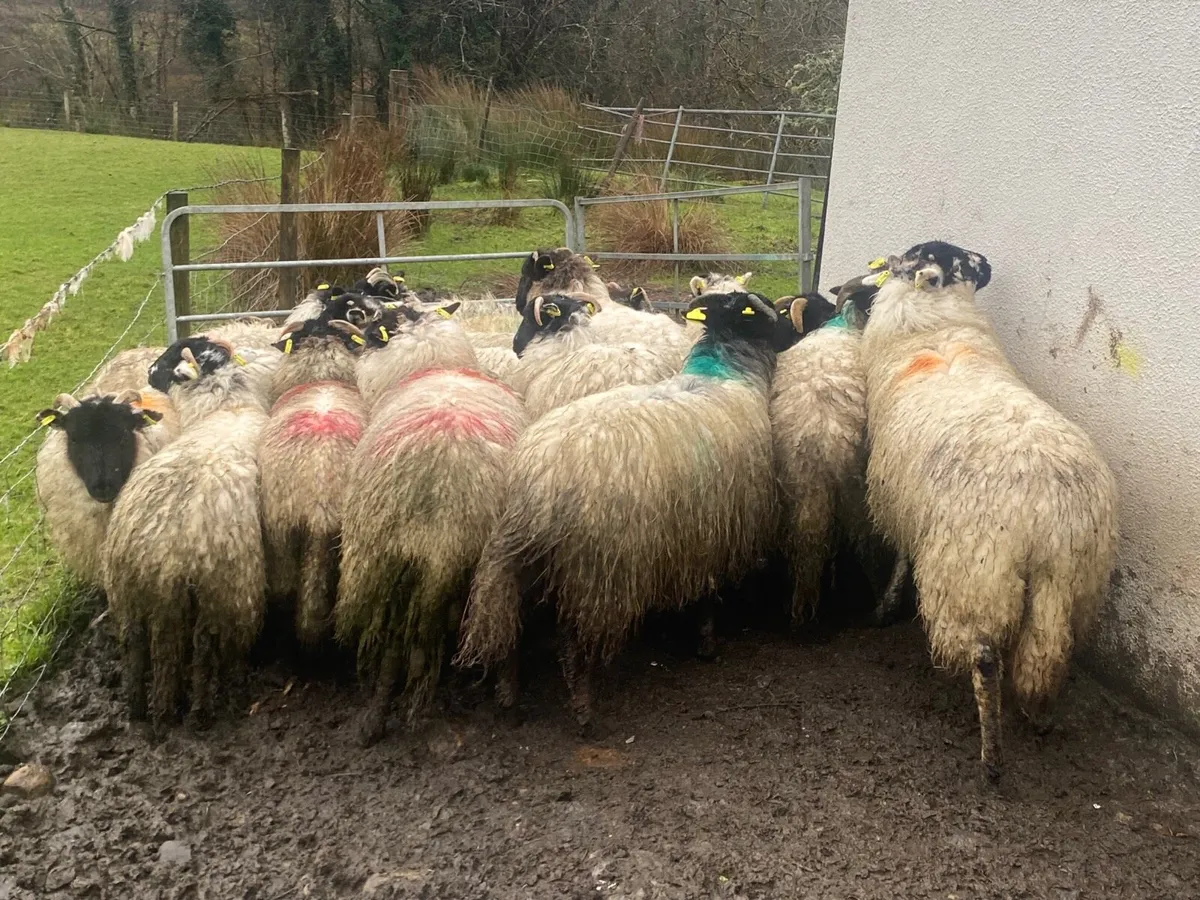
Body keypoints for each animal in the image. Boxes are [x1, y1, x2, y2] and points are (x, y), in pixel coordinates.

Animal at [104, 336, 273, 725]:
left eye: (167, 361)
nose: (148, 372)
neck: (227, 408)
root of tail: (160, 559)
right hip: (222, 591)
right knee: (206, 648)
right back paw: (202, 710)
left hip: (126, 592)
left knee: (134, 647)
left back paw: (138, 709)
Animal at [335, 367, 528, 743]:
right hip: (490, 566)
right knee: (501, 633)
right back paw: (509, 700)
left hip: (387, 562)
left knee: (392, 648)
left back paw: (374, 719)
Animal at [858, 240, 1118, 781]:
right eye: (959, 256)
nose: (991, 263)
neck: (937, 332)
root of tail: (1048, 514)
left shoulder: (902, 504)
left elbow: (901, 557)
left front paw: (884, 607)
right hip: (1070, 581)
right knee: (1049, 650)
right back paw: (1040, 717)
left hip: (974, 575)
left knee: (983, 659)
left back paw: (993, 760)